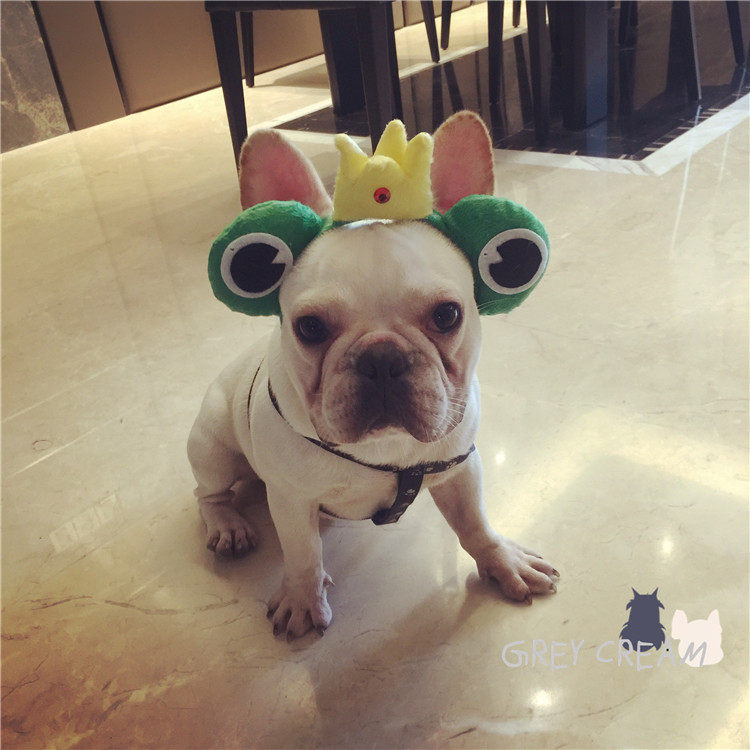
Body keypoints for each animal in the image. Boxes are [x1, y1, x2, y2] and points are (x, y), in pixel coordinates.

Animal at [188, 112, 559, 640]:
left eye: (447, 315)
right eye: (310, 327)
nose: (381, 358)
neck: (387, 449)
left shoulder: (461, 469)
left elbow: (475, 523)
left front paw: (501, 561)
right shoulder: (291, 499)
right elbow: (302, 553)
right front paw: (303, 597)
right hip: (213, 446)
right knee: (208, 493)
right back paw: (227, 525)